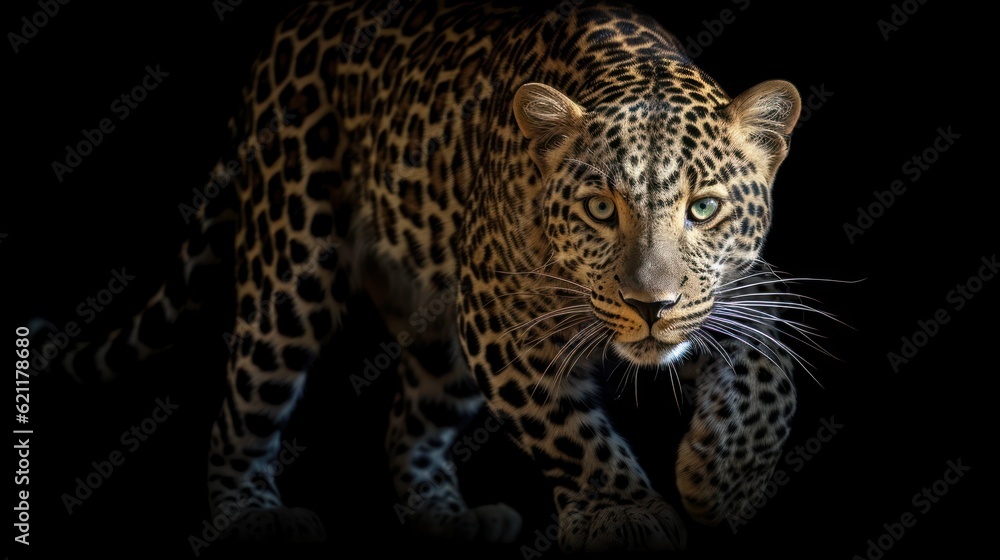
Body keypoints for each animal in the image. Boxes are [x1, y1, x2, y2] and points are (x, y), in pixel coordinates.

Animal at [37, 0, 806, 552]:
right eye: (598, 209)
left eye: (703, 208)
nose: (652, 304)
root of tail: (288, 27)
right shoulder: (499, 320)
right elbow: (567, 431)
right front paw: (622, 510)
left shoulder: (740, 290)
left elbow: (771, 374)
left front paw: (721, 475)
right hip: (290, 273)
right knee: (244, 407)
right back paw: (251, 516)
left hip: (438, 339)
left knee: (410, 421)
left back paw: (447, 516)